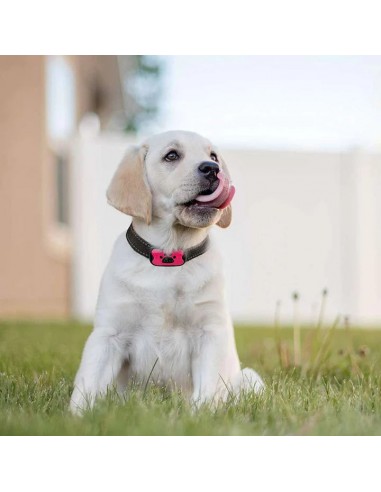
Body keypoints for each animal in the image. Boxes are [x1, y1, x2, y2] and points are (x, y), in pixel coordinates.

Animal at [70, 129, 262, 414]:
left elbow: (207, 390)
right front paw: (76, 416)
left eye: (213, 155)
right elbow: (87, 384)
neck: (170, 256)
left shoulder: (210, 332)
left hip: (250, 378)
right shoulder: (108, 335)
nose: (212, 169)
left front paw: (200, 416)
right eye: (171, 156)